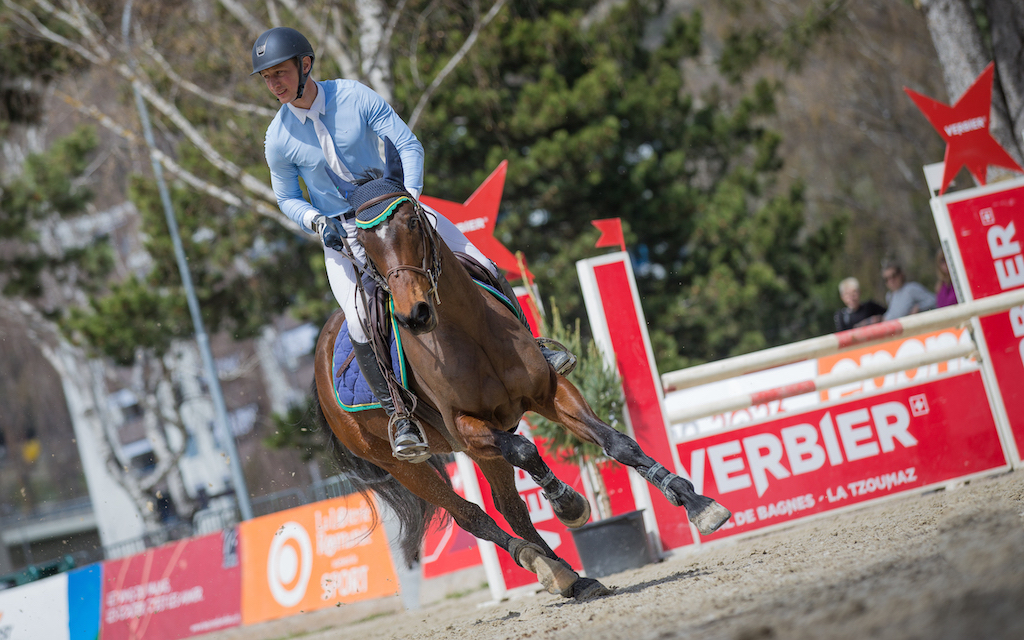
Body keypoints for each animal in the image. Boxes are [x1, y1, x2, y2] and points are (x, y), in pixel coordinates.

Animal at [311, 138, 729, 598]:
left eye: (413, 222)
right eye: (362, 241)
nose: (413, 316)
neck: (468, 329)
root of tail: (320, 355)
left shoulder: (549, 392)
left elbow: (618, 443)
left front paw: (698, 504)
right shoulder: (467, 426)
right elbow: (528, 450)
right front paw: (568, 503)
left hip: (475, 452)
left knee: (511, 508)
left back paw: (573, 577)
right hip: (405, 464)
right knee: (472, 514)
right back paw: (543, 565)